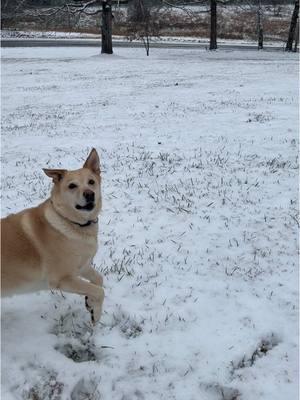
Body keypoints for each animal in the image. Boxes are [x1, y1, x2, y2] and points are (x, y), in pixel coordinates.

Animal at [0, 148, 104, 324]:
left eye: (91, 182)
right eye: (72, 186)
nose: (90, 194)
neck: (71, 222)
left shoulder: (82, 266)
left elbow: (99, 280)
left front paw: (90, 304)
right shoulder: (62, 279)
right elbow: (99, 291)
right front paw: (96, 315)